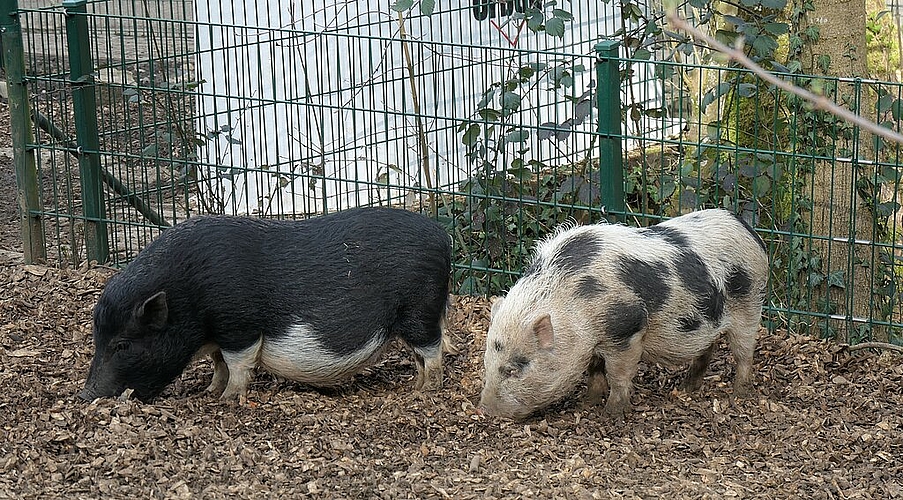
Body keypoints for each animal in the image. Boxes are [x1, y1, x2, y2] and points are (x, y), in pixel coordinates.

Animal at [79, 207, 452, 402]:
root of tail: (441, 236)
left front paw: (226, 400)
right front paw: (209, 392)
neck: (187, 292)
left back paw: (422, 391)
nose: (87, 395)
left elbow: (237, 362)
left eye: (122, 344)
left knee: (432, 351)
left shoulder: (238, 324)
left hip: (421, 310)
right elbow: (218, 362)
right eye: (97, 340)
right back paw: (415, 385)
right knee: (421, 355)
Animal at [476, 209, 768, 420]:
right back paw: (687, 388)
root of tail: (750, 232)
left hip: (749, 303)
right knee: (707, 348)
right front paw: (588, 403)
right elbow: (595, 370)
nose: (486, 409)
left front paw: (610, 414)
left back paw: (740, 394)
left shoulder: (627, 328)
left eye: (513, 369)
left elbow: (618, 374)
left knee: (744, 352)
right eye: (487, 362)